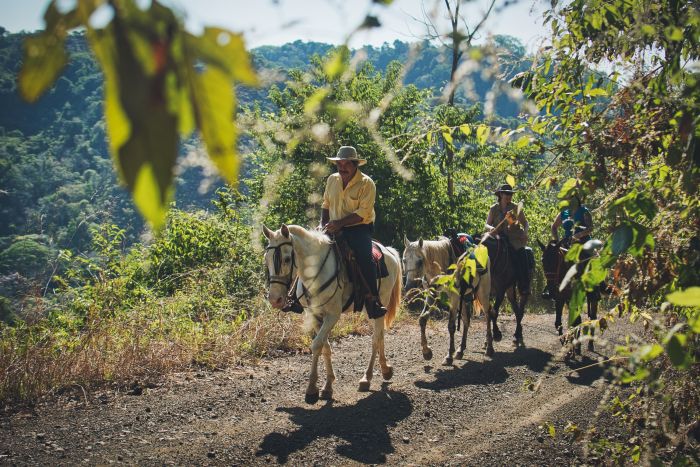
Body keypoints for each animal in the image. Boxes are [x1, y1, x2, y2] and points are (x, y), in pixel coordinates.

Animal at [262, 225, 402, 404]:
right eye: (266, 259)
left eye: (286, 259)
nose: (275, 299)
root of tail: (388, 251)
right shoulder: (314, 315)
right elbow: (325, 346)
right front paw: (327, 386)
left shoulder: (332, 315)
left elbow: (316, 345)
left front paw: (311, 389)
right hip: (369, 309)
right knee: (380, 335)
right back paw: (385, 369)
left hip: (381, 302)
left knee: (375, 339)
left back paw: (367, 378)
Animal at [402, 236, 494, 364]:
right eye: (404, 260)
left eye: (420, 261)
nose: (409, 288)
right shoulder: (431, 296)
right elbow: (422, 319)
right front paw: (426, 352)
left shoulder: (453, 299)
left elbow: (451, 326)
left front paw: (449, 355)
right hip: (463, 297)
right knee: (466, 320)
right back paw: (461, 350)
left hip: (483, 294)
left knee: (488, 315)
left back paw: (489, 348)